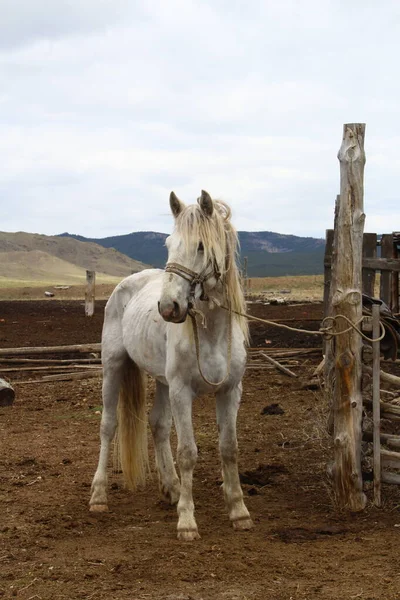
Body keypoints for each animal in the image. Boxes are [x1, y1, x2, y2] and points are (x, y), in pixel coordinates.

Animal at [90, 189, 253, 540]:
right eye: (168, 244)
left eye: (201, 246)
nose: (168, 308)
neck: (211, 333)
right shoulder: (182, 392)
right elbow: (188, 452)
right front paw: (188, 522)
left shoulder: (230, 391)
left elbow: (229, 447)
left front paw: (238, 511)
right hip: (114, 367)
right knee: (108, 426)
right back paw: (98, 496)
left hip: (163, 381)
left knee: (158, 425)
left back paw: (172, 489)